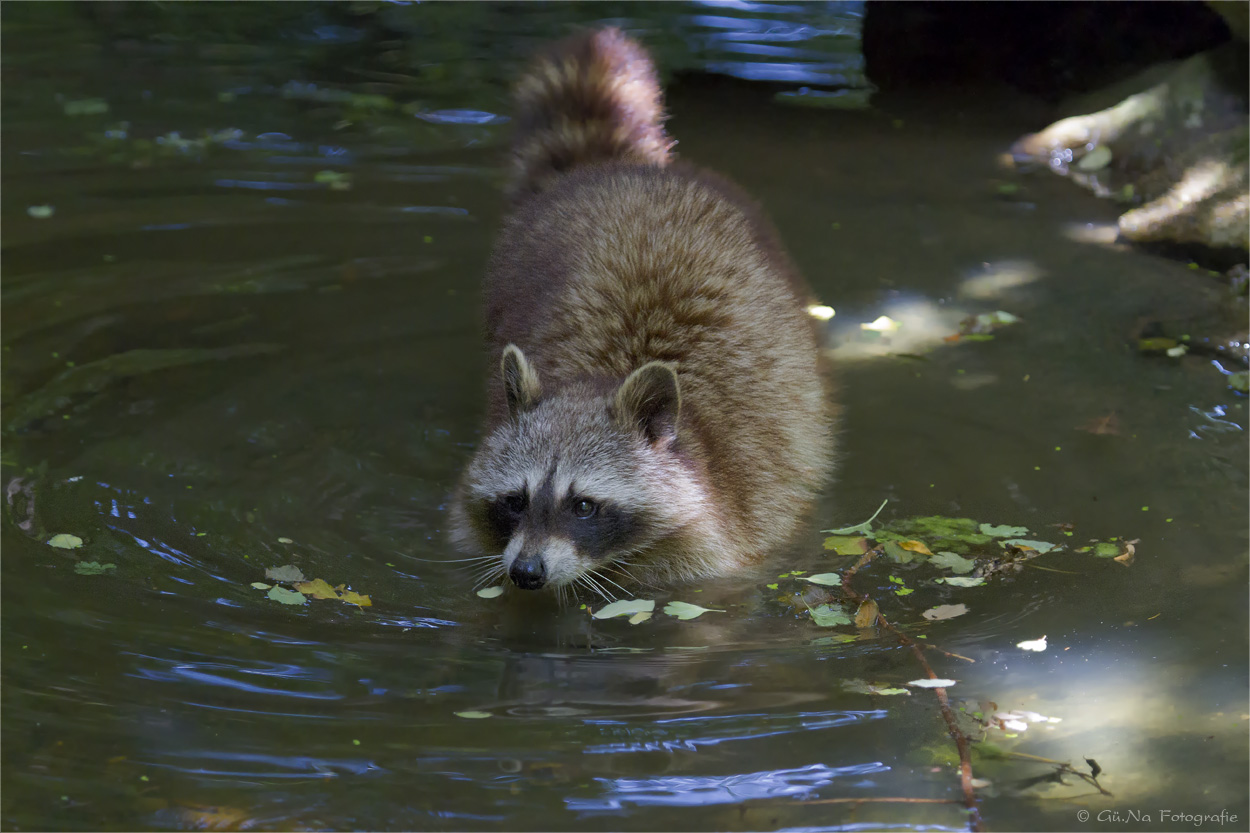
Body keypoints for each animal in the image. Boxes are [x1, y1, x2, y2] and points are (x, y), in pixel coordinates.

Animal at [445, 27, 835, 597]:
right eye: (515, 501)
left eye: (584, 505)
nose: (526, 573)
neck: (597, 379)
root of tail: (619, 169)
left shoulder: (742, 516)